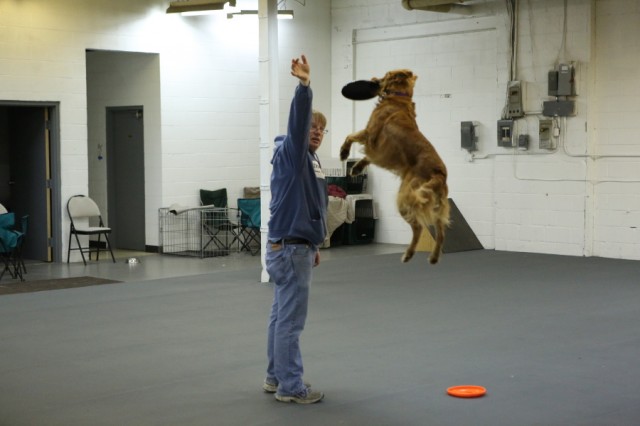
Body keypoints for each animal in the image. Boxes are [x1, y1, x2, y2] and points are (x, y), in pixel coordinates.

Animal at [340, 69, 450, 262]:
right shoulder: (379, 149)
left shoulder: (370, 134)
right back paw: (433, 257)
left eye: (385, 75)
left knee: (419, 226)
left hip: (405, 198)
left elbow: (350, 136)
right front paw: (357, 167)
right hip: (437, 205)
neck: (399, 98)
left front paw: (344, 153)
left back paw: (408, 254)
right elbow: (368, 157)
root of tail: (439, 173)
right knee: (440, 231)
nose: (374, 79)